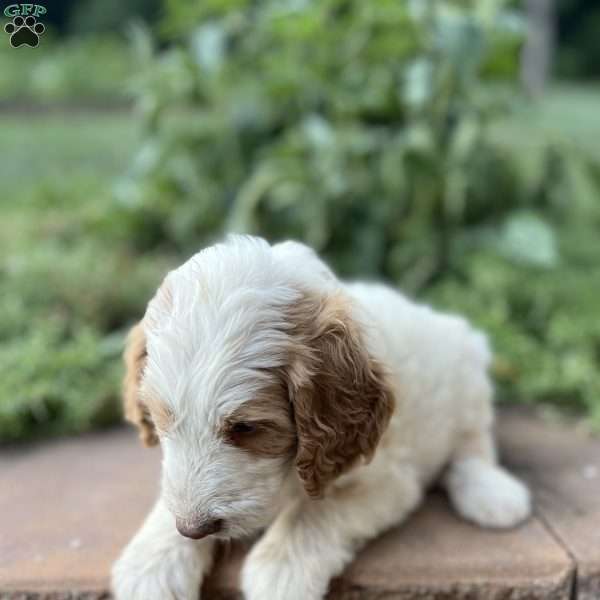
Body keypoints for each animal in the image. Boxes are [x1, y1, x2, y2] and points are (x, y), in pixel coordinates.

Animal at [111, 234, 528, 600]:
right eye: (161, 420)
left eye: (246, 427)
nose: (194, 529)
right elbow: (167, 499)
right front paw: (150, 565)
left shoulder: (387, 480)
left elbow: (316, 511)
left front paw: (279, 573)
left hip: (469, 379)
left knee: (473, 445)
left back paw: (492, 494)